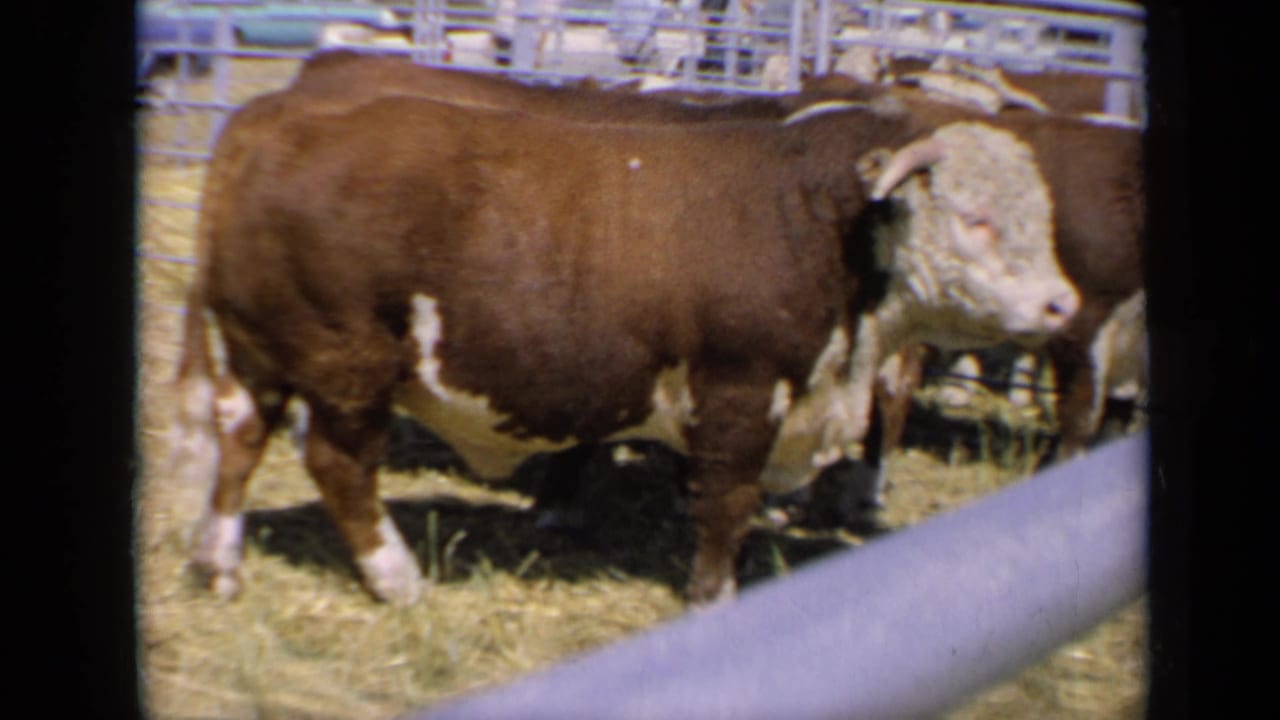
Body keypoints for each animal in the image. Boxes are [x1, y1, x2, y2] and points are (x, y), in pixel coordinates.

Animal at [168, 81, 1079, 607]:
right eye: (976, 216)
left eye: (1039, 212)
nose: (1061, 303)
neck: (823, 224)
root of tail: (276, 114)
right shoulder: (740, 390)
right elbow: (726, 506)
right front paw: (713, 596)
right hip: (346, 362)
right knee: (340, 465)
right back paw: (397, 578)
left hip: (264, 354)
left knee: (239, 438)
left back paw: (219, 563)